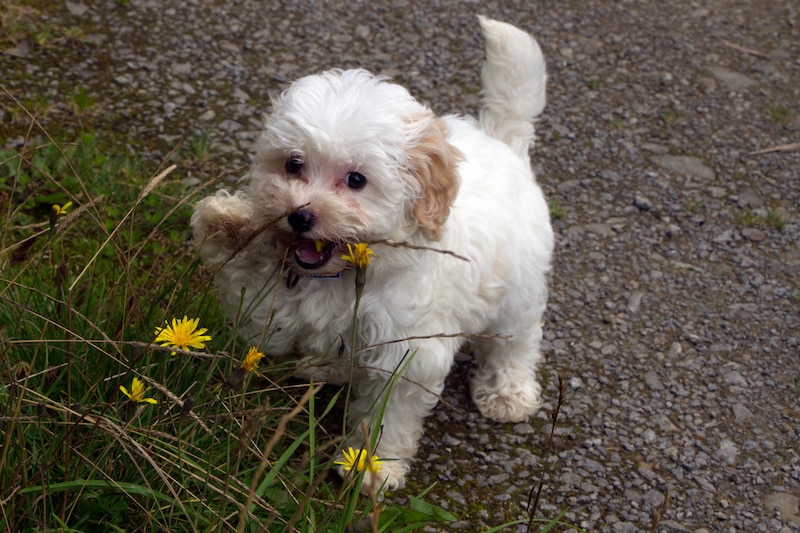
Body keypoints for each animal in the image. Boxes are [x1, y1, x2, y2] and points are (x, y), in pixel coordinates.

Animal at [191, 15, 552, 490]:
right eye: (293, 164)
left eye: (356, 180)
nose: (299, 216)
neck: (344, 271)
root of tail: (504, 144)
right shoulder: (278, 308)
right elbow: (256, 300)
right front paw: (229, 223)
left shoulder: (406, 349)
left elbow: (388, 411)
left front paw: (370, 465)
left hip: (517, 289)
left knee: (518, 338)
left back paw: (507, 391)